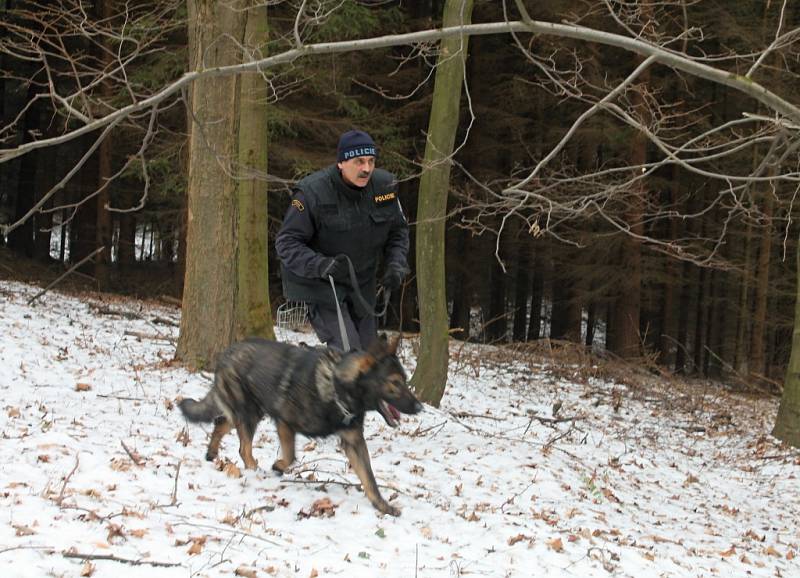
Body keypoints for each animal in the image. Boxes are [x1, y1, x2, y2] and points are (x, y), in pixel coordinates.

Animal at [179, 336, 422, 516]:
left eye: (404, 380)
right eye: (395, 383)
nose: (420, 407)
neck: (337, 386)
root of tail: (226, 353)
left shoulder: (354, 442)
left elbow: (369, 478)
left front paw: (382, 506)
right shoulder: (284, 423)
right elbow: (290, 456)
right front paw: (278, 466)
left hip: (252, 411)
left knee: (221, 422)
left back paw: (211, 453)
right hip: (249, 413)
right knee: (244, 448)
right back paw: (254, 471)